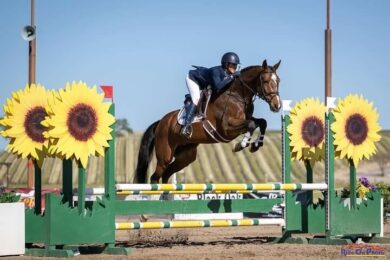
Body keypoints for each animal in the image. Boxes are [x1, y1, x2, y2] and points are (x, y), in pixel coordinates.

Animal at [134, 60, 280, 184]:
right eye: (265, 80)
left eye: (278, 80)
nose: (277, 105)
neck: (238, 96)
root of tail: (160, 122)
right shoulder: (227, 128)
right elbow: (251, 125)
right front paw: (241, 145)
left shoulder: (245, 119)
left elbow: (262, 122)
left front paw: (256, 145)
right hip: (165, 155)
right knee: (155, 177)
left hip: (186, 155)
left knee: (166, 174)